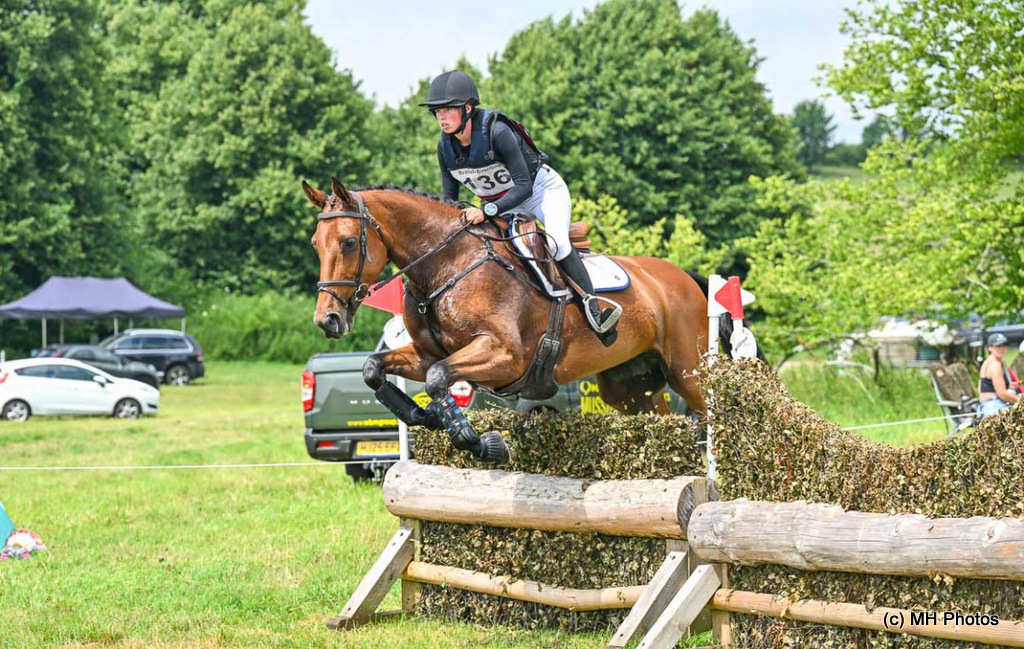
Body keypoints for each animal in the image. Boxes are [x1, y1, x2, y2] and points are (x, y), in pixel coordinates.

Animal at [305, 177, 734, 464]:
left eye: (348, 242)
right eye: (315, 244)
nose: (329, 320)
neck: (446, 265)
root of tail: (685, 278)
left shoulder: (505, 357)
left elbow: (438, 378)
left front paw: (481, 443)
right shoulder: (427, 353)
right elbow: (374, 368)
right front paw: (422, 415)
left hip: (688, 371)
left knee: (709, 417)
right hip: (630, 387)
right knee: (665, 421)